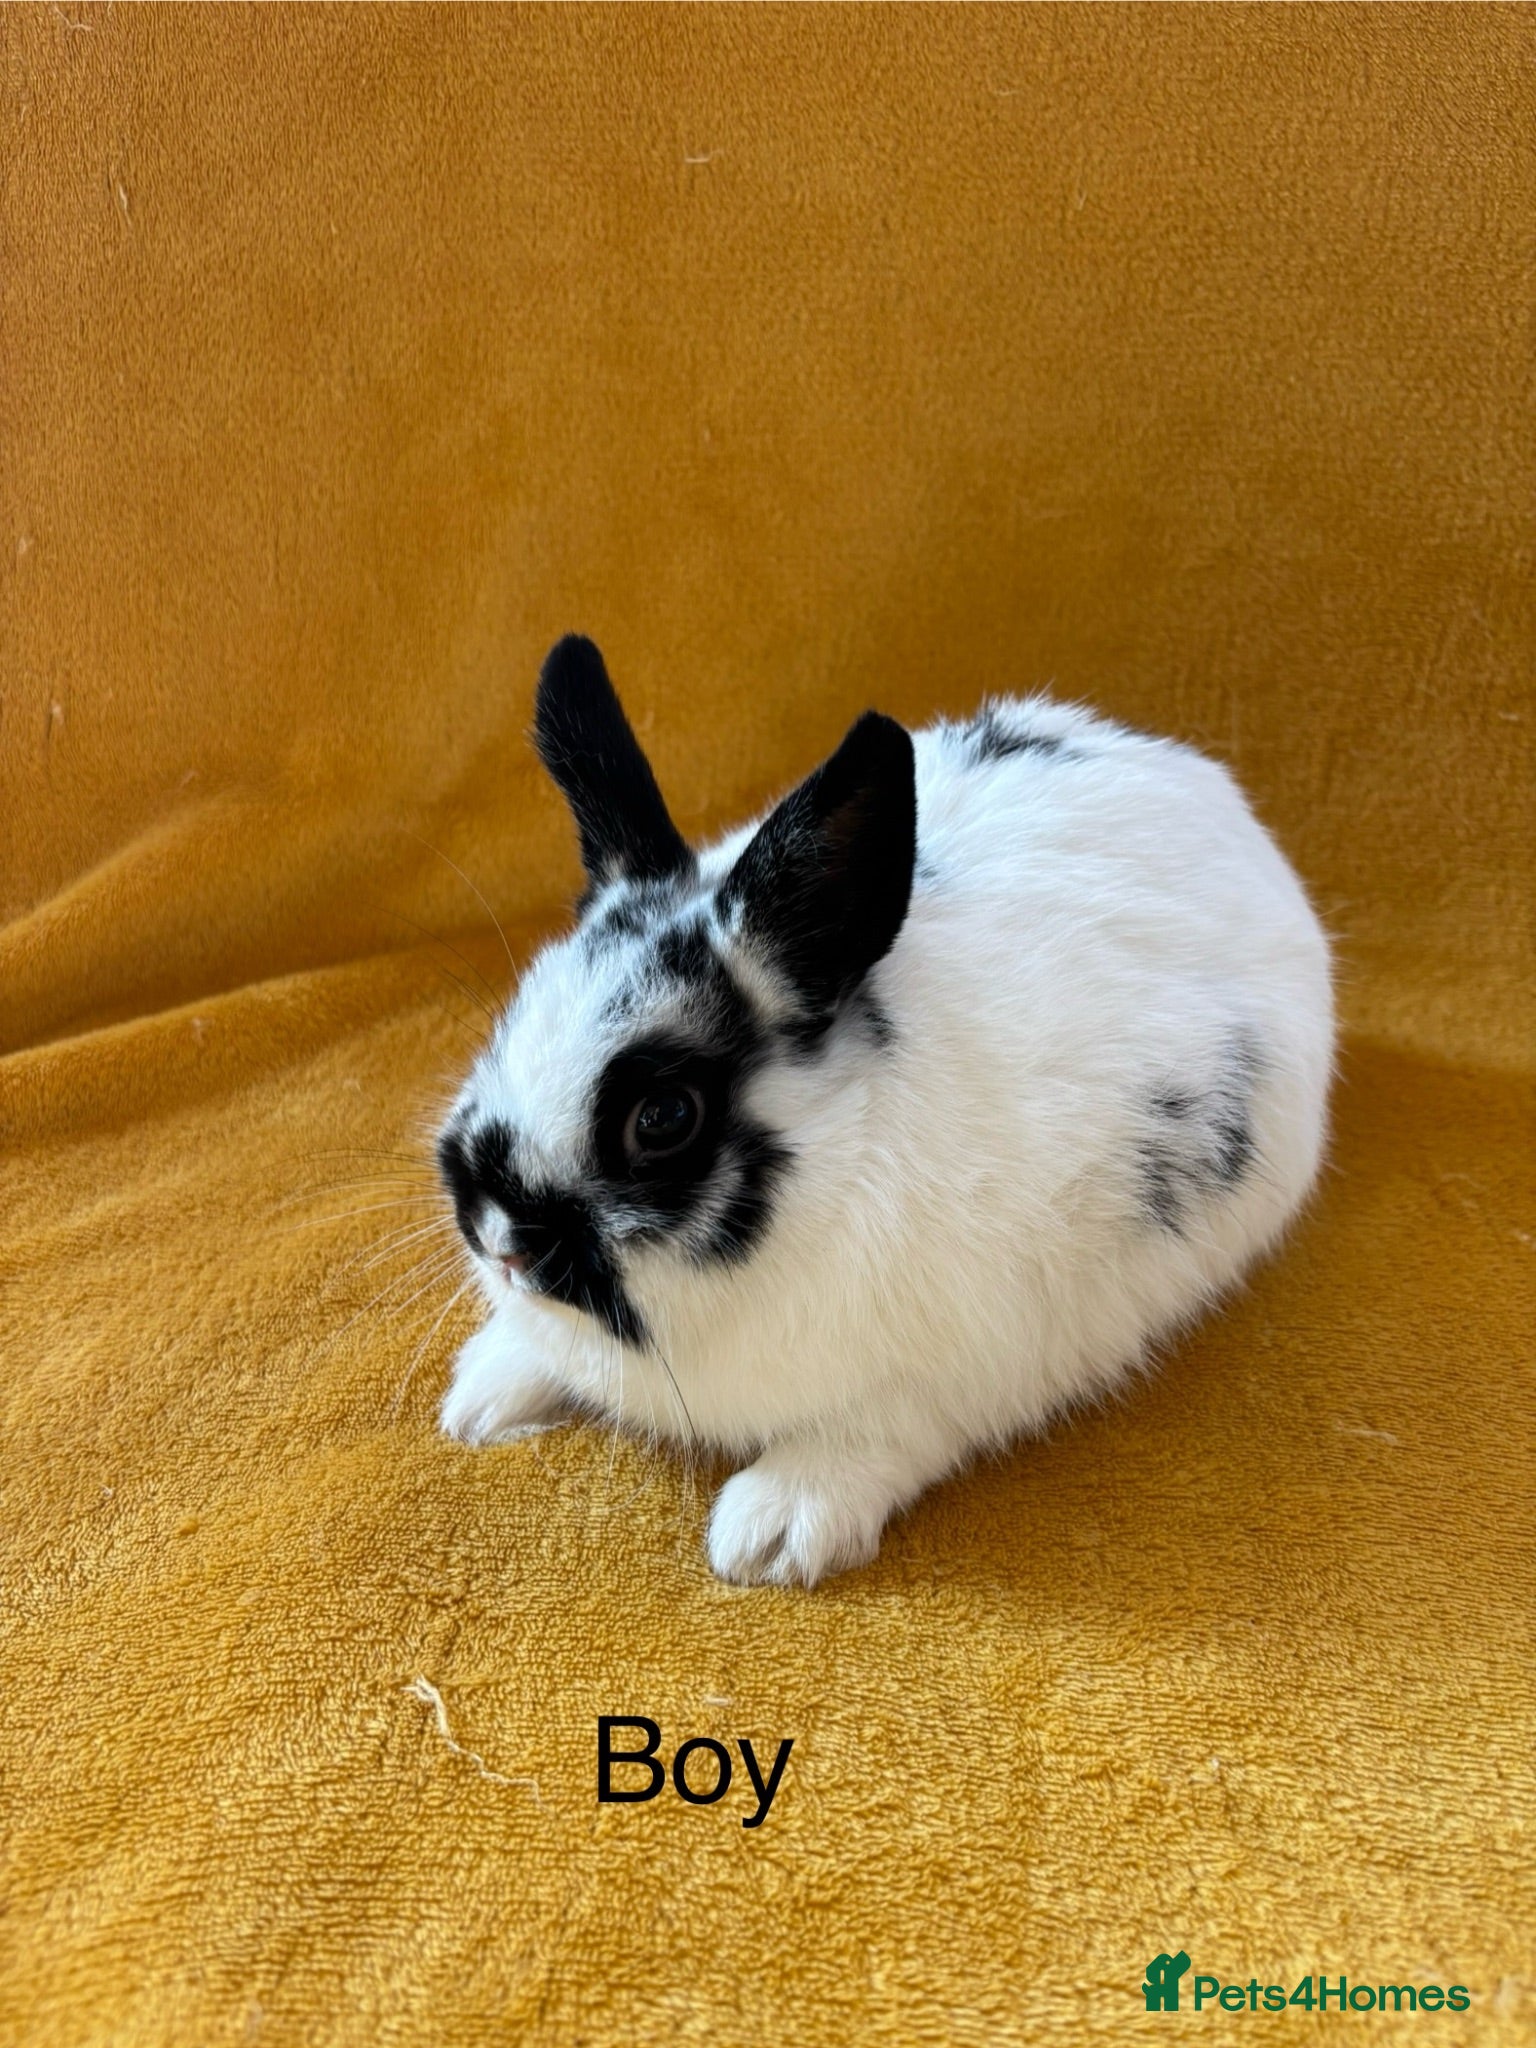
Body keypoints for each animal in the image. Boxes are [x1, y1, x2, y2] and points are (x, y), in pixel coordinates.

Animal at [436, 634, 1334, 1587]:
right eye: (514, 1014)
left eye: (663, 1118)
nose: (500, 1241)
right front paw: (478, 1400)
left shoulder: (944, 1379)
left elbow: (868, 1437)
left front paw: (770, 1535)